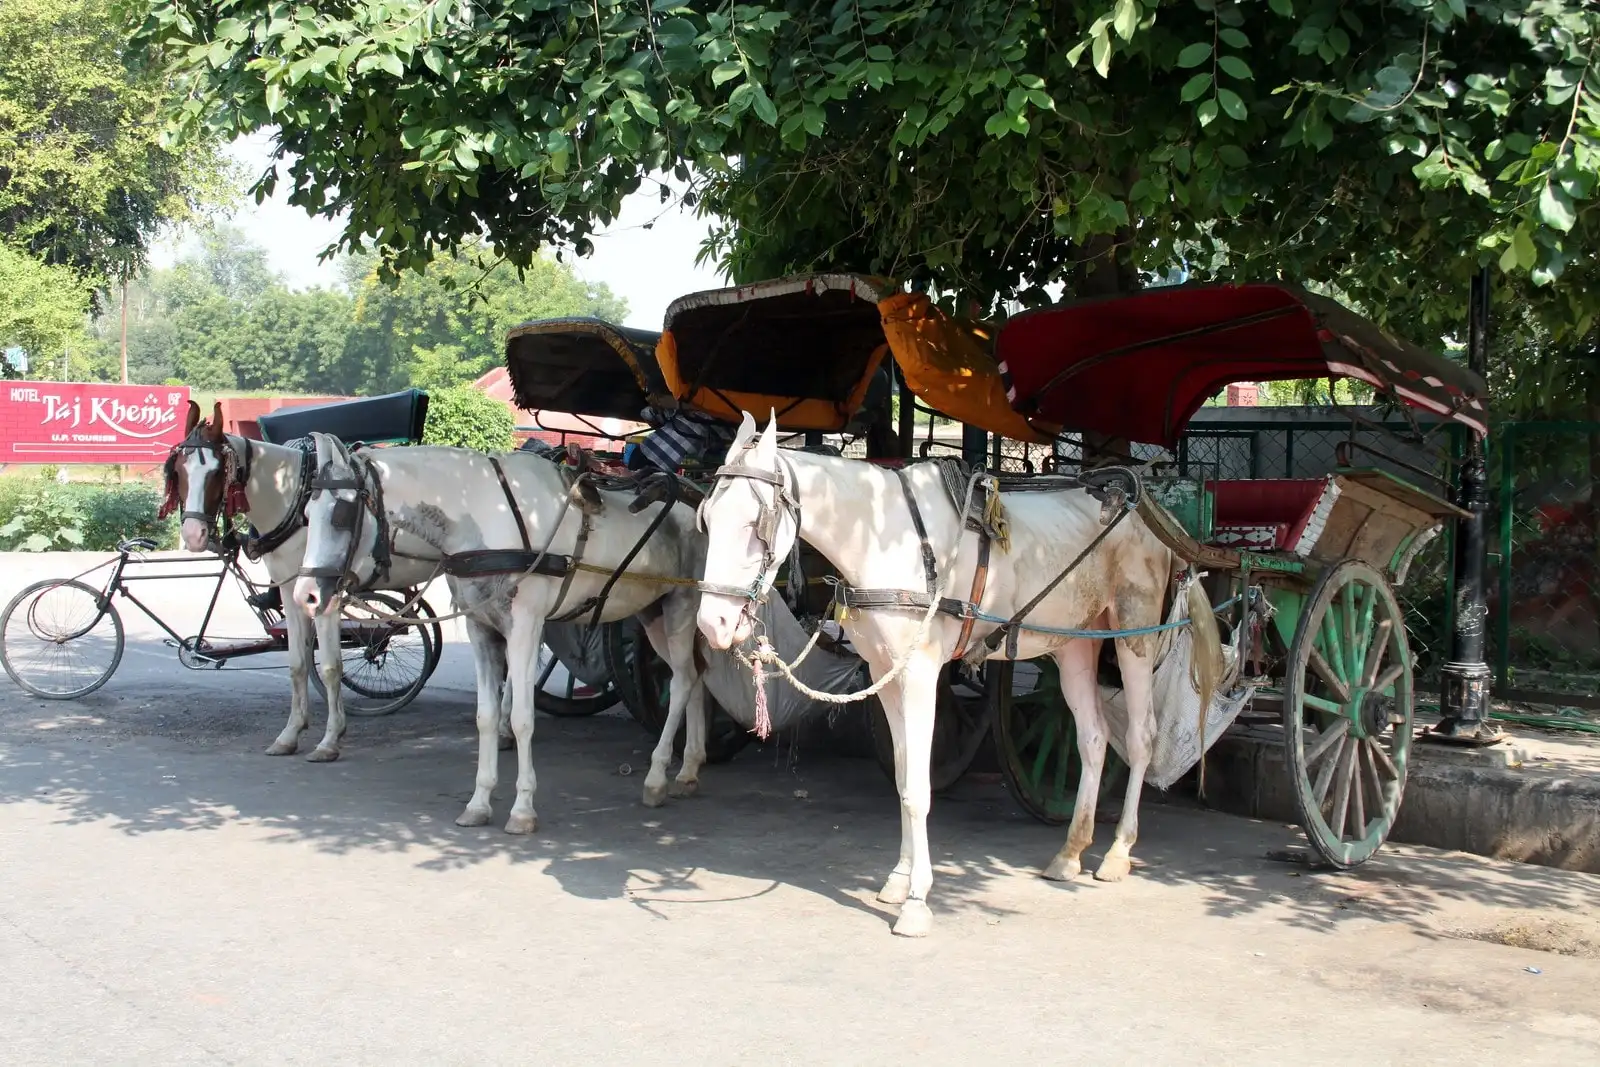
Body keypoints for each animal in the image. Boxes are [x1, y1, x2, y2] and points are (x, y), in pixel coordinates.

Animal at [289, 435, 713, 831]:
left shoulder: (524, 626)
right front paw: (479, 803)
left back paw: (657, 777)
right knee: (694, 676)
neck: (483, 518)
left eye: (342, 514)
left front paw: (523, 809)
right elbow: (487, 717)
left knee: (680, 683)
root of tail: (699, 501)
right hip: (653, 614)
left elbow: (523, 718)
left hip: (682, 606)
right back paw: (688, 770)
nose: (304, 595)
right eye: (306, 513)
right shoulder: (480, 629)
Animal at [694, 412, 1216, 940]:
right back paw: (1071, 852)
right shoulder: (886, 673)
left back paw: (1118, 851)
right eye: (706, 519)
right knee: (1091, 738)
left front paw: (917, 901)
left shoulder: (920, 674)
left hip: (1134, 634)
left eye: (754, 525)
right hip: (1074, 644)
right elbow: (903, 779)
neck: (885, 538)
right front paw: (899, 879)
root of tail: (1148, 514)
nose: (712, 624)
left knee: (1141, 737)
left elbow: (919, 790)